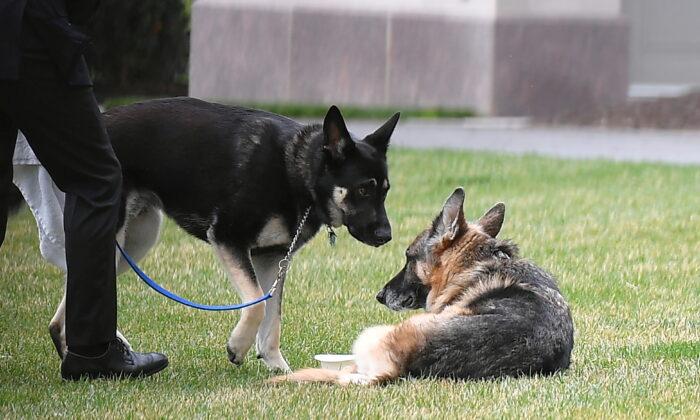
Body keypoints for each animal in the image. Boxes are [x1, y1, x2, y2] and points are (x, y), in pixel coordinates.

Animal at [47, 97, 400, 370]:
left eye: (385, 191)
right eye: (364, 189)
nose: (387, 236)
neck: (298, 173)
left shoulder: (274, 258)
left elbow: (272, 318)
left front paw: (278, 368)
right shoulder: (228, 238)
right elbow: (257, 305)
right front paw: (238, 346)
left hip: (136, 241)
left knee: (62, 312)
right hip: (116, 235)